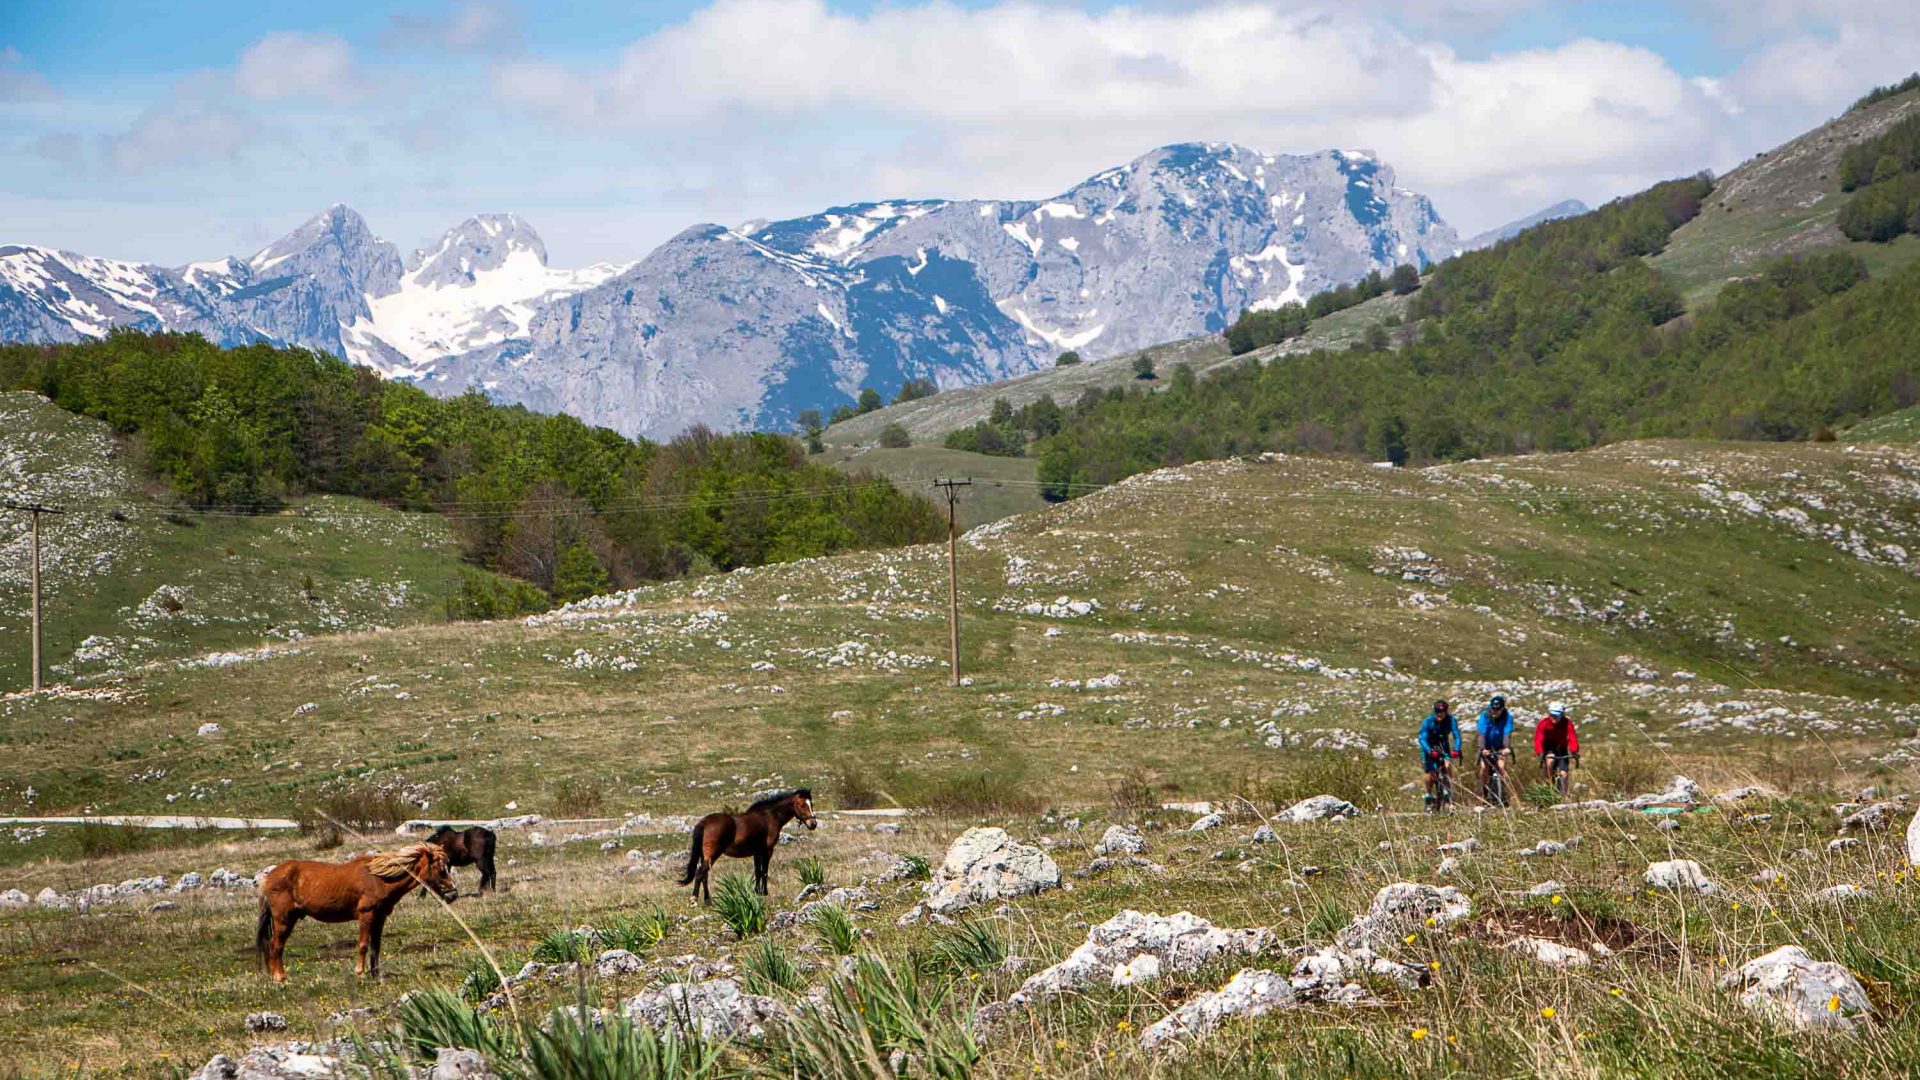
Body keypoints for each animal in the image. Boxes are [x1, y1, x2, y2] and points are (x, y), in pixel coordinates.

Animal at [255, 837, 456, 980]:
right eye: (441, 870)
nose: (453, 894)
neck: (379, 879)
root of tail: (269, 877)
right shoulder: (366, 916)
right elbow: (363, 945)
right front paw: (360, 972)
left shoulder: (380, 918)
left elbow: (376, 946)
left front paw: (376, 974)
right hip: (284, 919)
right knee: (276, 945)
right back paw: (280, 978)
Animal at [679, 780, 814, 899]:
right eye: (802, 805)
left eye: (811, 804)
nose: (813, 824)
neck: (769, 817)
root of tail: (704, 823)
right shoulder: (767, 851)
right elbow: (764, 871)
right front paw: (764, 892)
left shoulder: (757, 852)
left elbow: (758, 872)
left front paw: (757, 892)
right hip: (712, 854)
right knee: (700, 873)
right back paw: (694, 899)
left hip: (705, 856)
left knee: (704, 875)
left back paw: (708, 900)